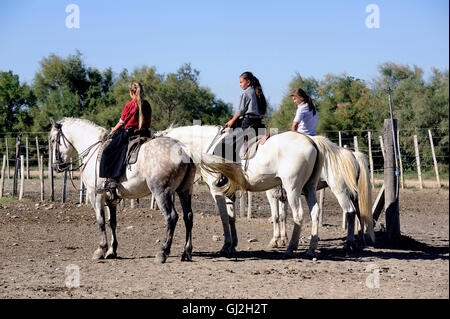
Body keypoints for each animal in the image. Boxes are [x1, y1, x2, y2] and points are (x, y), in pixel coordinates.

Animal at [48, 119, 197, 264]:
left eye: (53, 140)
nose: (55, 166)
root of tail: (183, 149)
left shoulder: (95, 195)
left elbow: (100, 221)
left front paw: (100, 249)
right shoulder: (111, 199)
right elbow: (112, 222)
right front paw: (112, 251)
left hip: (161, 193)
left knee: (171, 217)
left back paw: (163, 252)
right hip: (185, 191)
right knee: (188, 216)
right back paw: (186, 252)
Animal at [160, 125, 374, 258]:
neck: (207, 145)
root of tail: (313, 142)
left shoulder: (218, 191)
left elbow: (226, 217)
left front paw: (227, 245)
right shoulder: (232, 192)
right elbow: (232, 217)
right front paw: (233, 245)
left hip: (309, 189)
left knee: (316, 214)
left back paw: (294, 248)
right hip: (310, 188)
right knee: (320, 213)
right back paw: (315, 248)